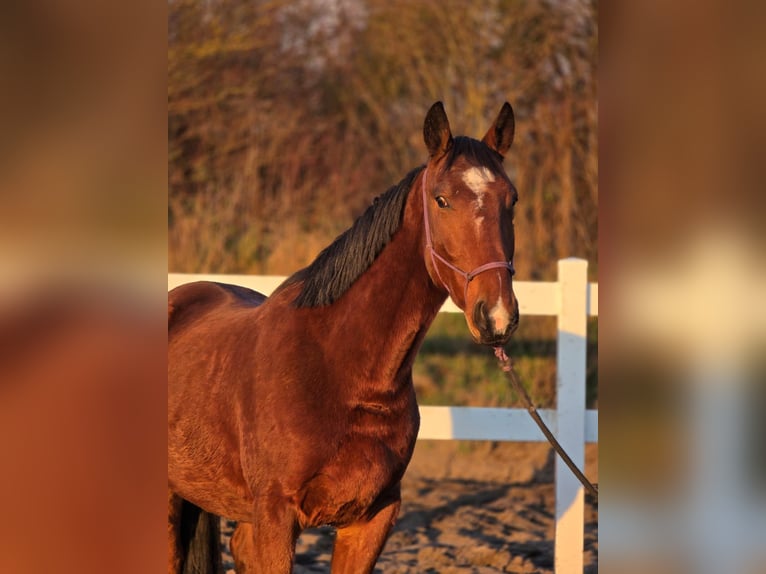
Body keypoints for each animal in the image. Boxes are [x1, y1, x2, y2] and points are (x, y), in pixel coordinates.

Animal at [168, 101, 520, 573]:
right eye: (442, 200)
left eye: (511, 200)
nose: (496, 315)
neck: (340, 367)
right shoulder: (276, 518)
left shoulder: (372, 518)